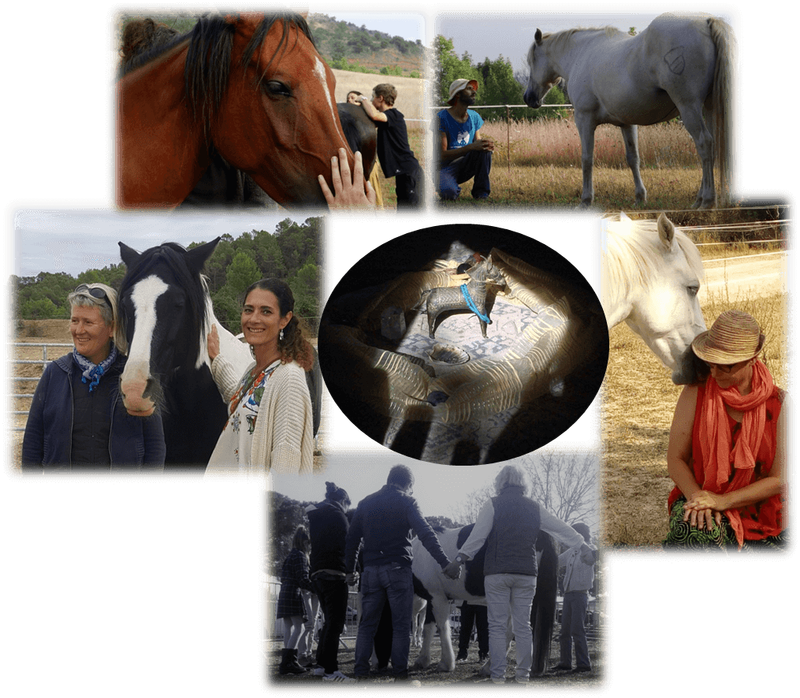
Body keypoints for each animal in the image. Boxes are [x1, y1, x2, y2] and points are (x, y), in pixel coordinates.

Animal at [411, 524, 558, 676]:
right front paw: (422, 660)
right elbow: (428, 628)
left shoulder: (438, 597)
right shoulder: (432, 599)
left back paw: (488, 668)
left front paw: (446, 664)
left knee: (509, 631)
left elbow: (442, 628)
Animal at [524, 11, 739, 210]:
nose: (529, 98)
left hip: (689, 107)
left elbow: (587, 159)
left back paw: (707, 201)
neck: (580, 54)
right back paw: (699, 200)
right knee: (712, 144)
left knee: (704, 143)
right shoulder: (626, 123)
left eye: (531, 61)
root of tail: (707, 20)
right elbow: (633, 159)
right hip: (708, 107)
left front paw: (585, 200)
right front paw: (640, 197)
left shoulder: (584, 119)